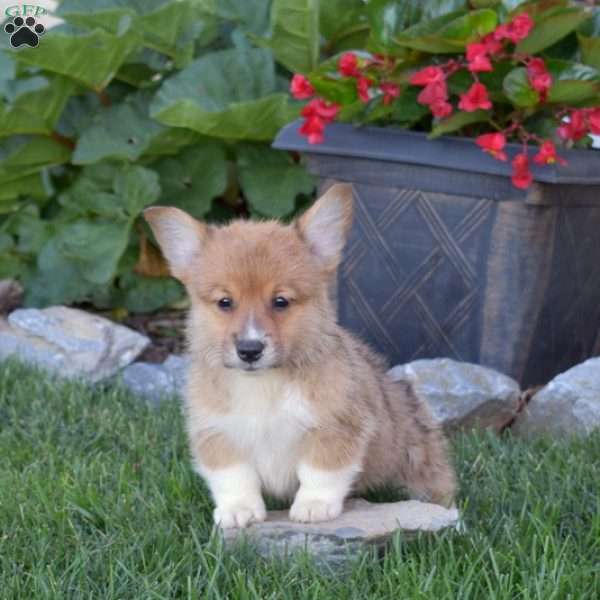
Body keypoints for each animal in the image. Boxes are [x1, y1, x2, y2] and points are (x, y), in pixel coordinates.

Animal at [144, 185, 454, 528]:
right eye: (225, 302)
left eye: (281, 301)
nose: (249, 350)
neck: (264, 384)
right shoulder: (218, 433)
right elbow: (233, 476)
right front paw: (238, 510)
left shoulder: (336, 426)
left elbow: (320, 471)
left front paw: (313, 506)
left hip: (419, 462)